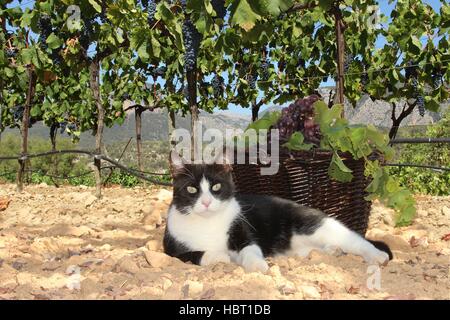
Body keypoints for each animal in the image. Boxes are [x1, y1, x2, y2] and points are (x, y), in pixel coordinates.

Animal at [163, 151, 392, 272]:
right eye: (192, 189)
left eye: (216, 187)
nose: (206, 202)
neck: (207, 222)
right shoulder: (171, 248)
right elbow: (195, 254)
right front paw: (221, 256)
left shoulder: (243, 228)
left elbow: (250, 248)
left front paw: (257, 265)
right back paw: (332, 251)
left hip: (317, 225)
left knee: (355, 240)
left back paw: (376, 255)